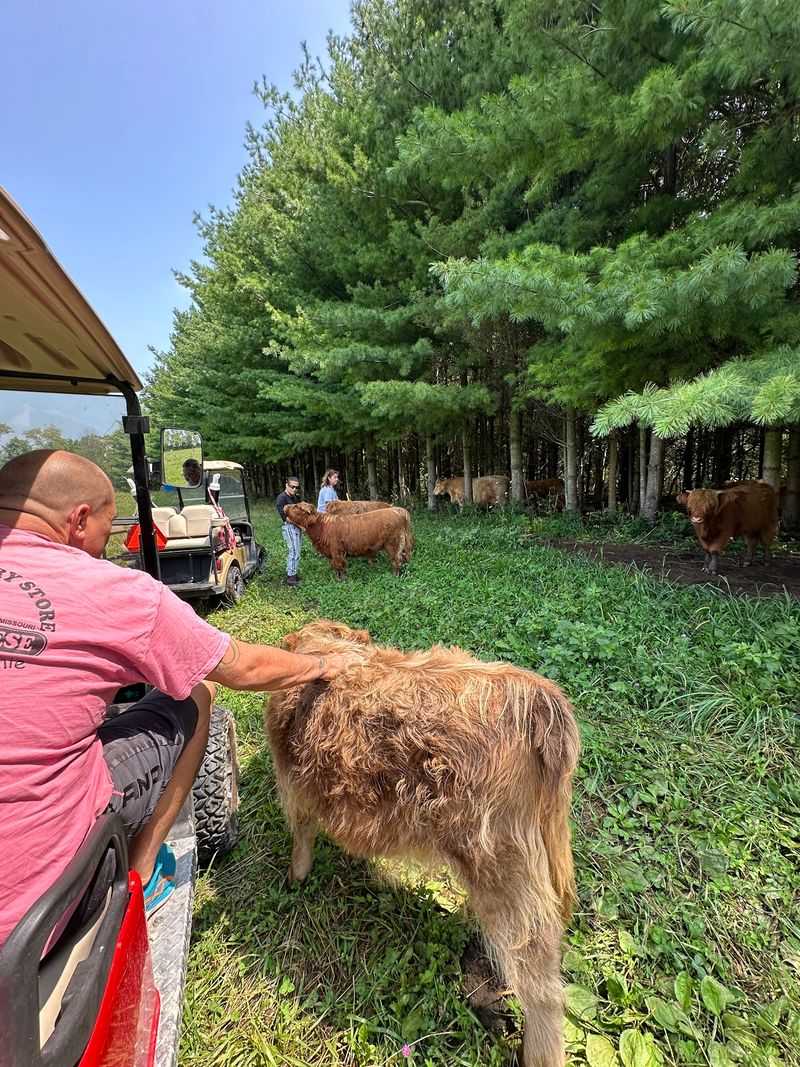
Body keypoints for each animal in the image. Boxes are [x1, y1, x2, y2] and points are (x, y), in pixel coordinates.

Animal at [266, 619, 580, 1067]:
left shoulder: (295, 790)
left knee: (541, 981)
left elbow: (301, 839)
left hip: (504, 866)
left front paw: (296, 878)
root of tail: (534, 694)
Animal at [284, 501, 414, 578]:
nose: (285, 506)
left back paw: (395, 576)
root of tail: (399, 510)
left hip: (393, 544)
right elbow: (336, 566)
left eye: (296, 506)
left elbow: (339, 565)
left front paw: (341, 579)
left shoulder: (337, 551)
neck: (322, 527)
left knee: (397, 560)